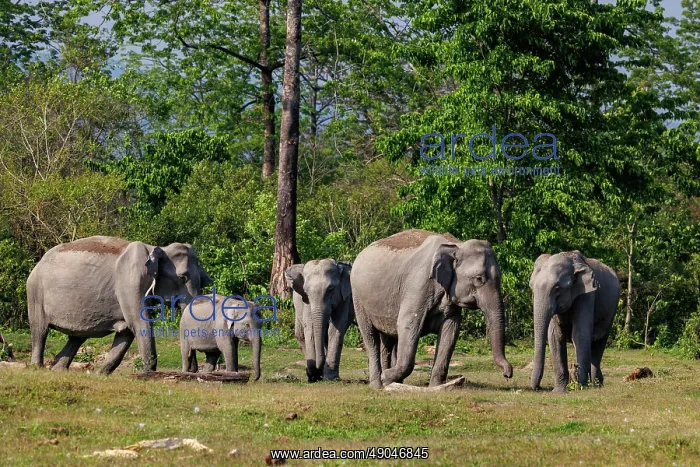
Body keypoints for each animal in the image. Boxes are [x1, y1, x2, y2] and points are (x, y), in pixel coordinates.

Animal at [27, 236, 212, 374]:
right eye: (182, 278)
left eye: (203, 280)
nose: (192, 371)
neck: (158, 249)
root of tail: (39, 262)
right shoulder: (131, 282)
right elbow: (138, 323)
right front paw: (147, 374)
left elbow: (126, 332)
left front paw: (99, 375)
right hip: (35, 293)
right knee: (40, 330)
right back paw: (38, 368)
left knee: (77, 337)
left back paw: (57, 369)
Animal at [351, 229, 513, 389]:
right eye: (479, 278)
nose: (507, 374)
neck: (456, 245)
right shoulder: (417, 285)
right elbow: (408, 324)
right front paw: (386, 377)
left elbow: (451, 330)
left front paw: (436, 387)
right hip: (358, 298)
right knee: (370, 337)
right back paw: (377, 385)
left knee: (388, 339)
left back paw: (390, 382)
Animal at [529, 251, 620, 392]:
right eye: (531, 287)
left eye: (557, 289)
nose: (538, 387)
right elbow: (554, 336)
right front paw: (559, 391)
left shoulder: (587, 295)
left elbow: (580, 334)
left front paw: (581, 386)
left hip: (610, 314)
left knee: (599, 344)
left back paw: (596, 384)